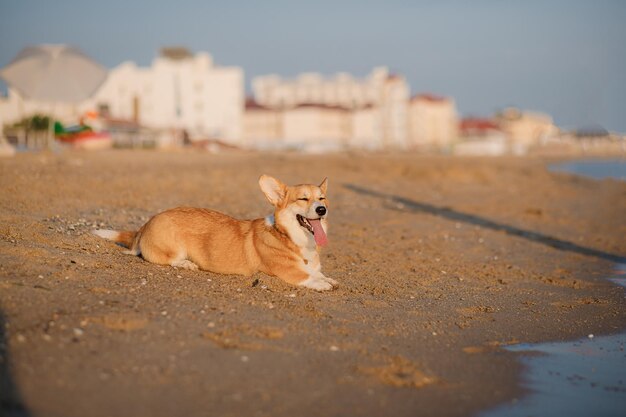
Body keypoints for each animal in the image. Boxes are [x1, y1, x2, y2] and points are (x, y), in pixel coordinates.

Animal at [92, 175, 336, 290]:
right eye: (303, 198)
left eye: (321, 198)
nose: (321, 210)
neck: (290, 237)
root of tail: (145, 225)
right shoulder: (287, 270)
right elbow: (306, 276)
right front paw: (322, 284)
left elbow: (317, 272)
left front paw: (328, 279)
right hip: (174, 247)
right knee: (168, 259)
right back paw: (187, 264)